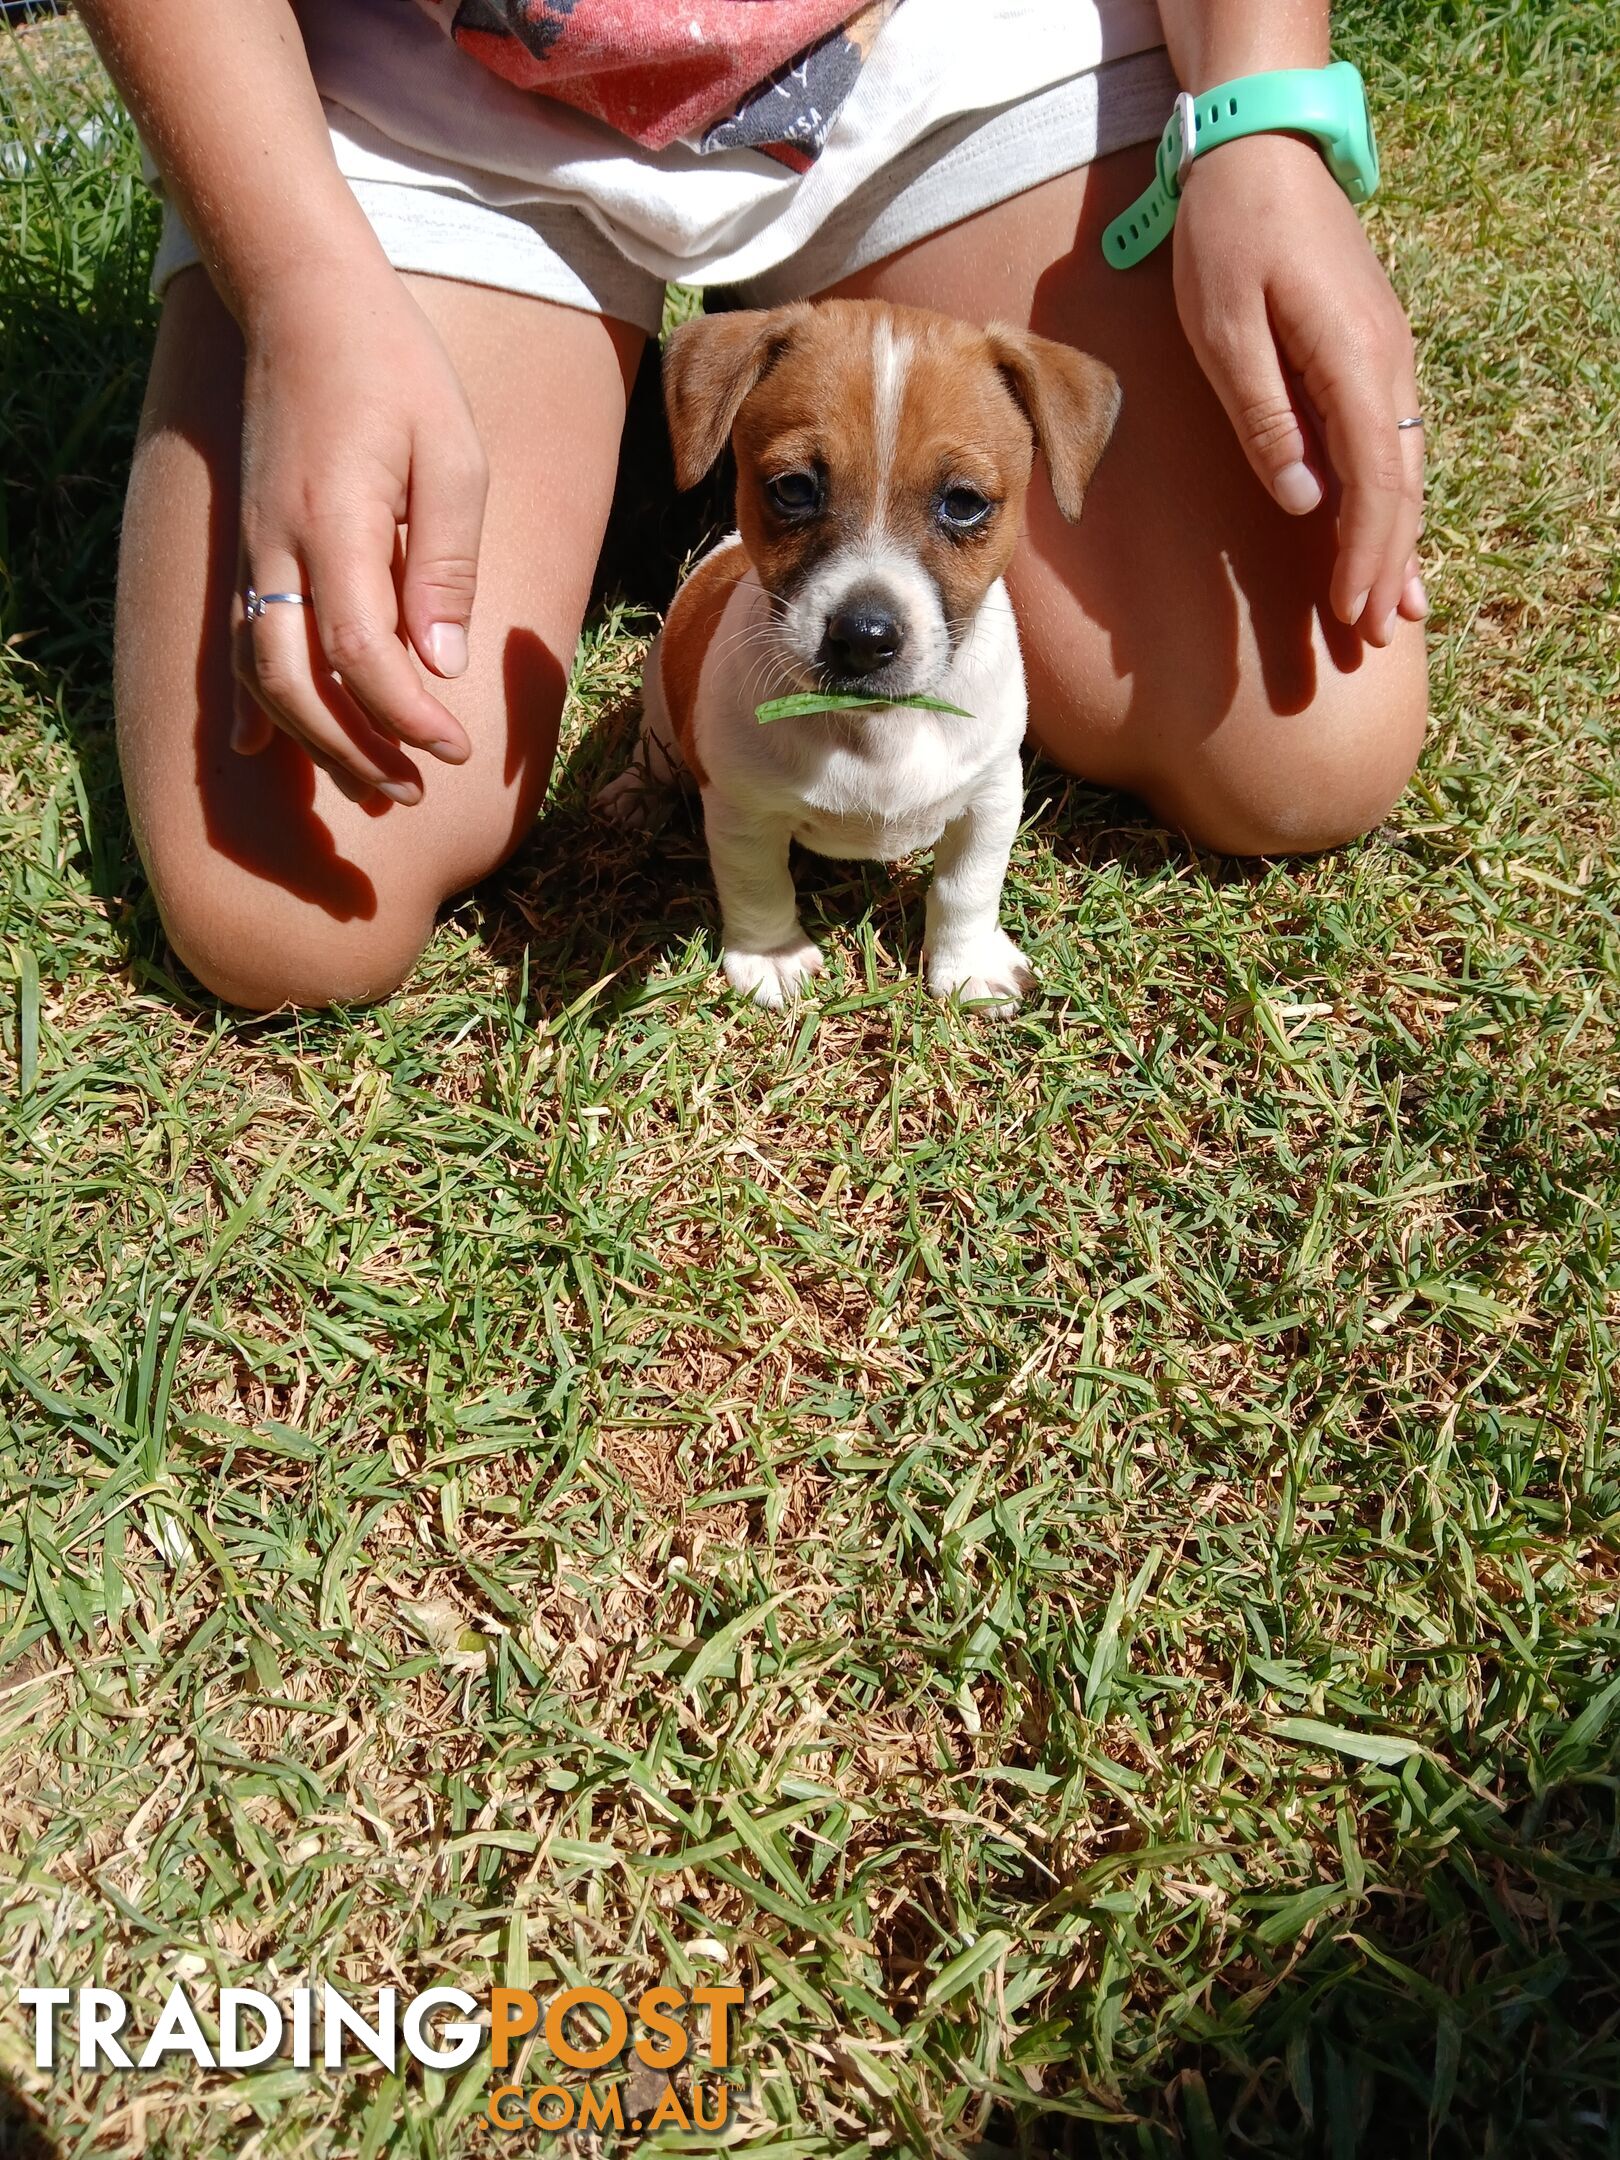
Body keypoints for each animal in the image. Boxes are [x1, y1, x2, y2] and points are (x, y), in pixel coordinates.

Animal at [604, 295, 1123, 1010]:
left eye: (964, 502)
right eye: (793, 488)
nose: (864, 638)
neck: (878, 733)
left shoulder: (992, 796)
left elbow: (968, 888)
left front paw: (966, 966)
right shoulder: (740, 810)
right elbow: (757, 885)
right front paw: (771, 957)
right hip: (660, 703)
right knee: (651, 750)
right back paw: (635, 794)